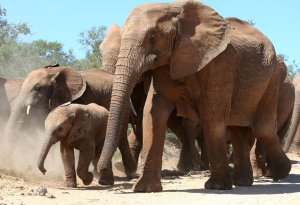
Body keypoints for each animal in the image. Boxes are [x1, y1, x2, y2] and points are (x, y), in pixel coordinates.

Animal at [98, 0, 290, 192]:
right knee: (239, 129)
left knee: (263, 129)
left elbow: (212, 117)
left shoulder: (220, 64)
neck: (174, 9)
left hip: (272, 79)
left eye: (153, 36)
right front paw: (144, 189)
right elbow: (153, 113)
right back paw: (243, 181)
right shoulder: (165, 65)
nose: (100, 173)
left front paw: (216, 187)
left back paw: (279, 174)